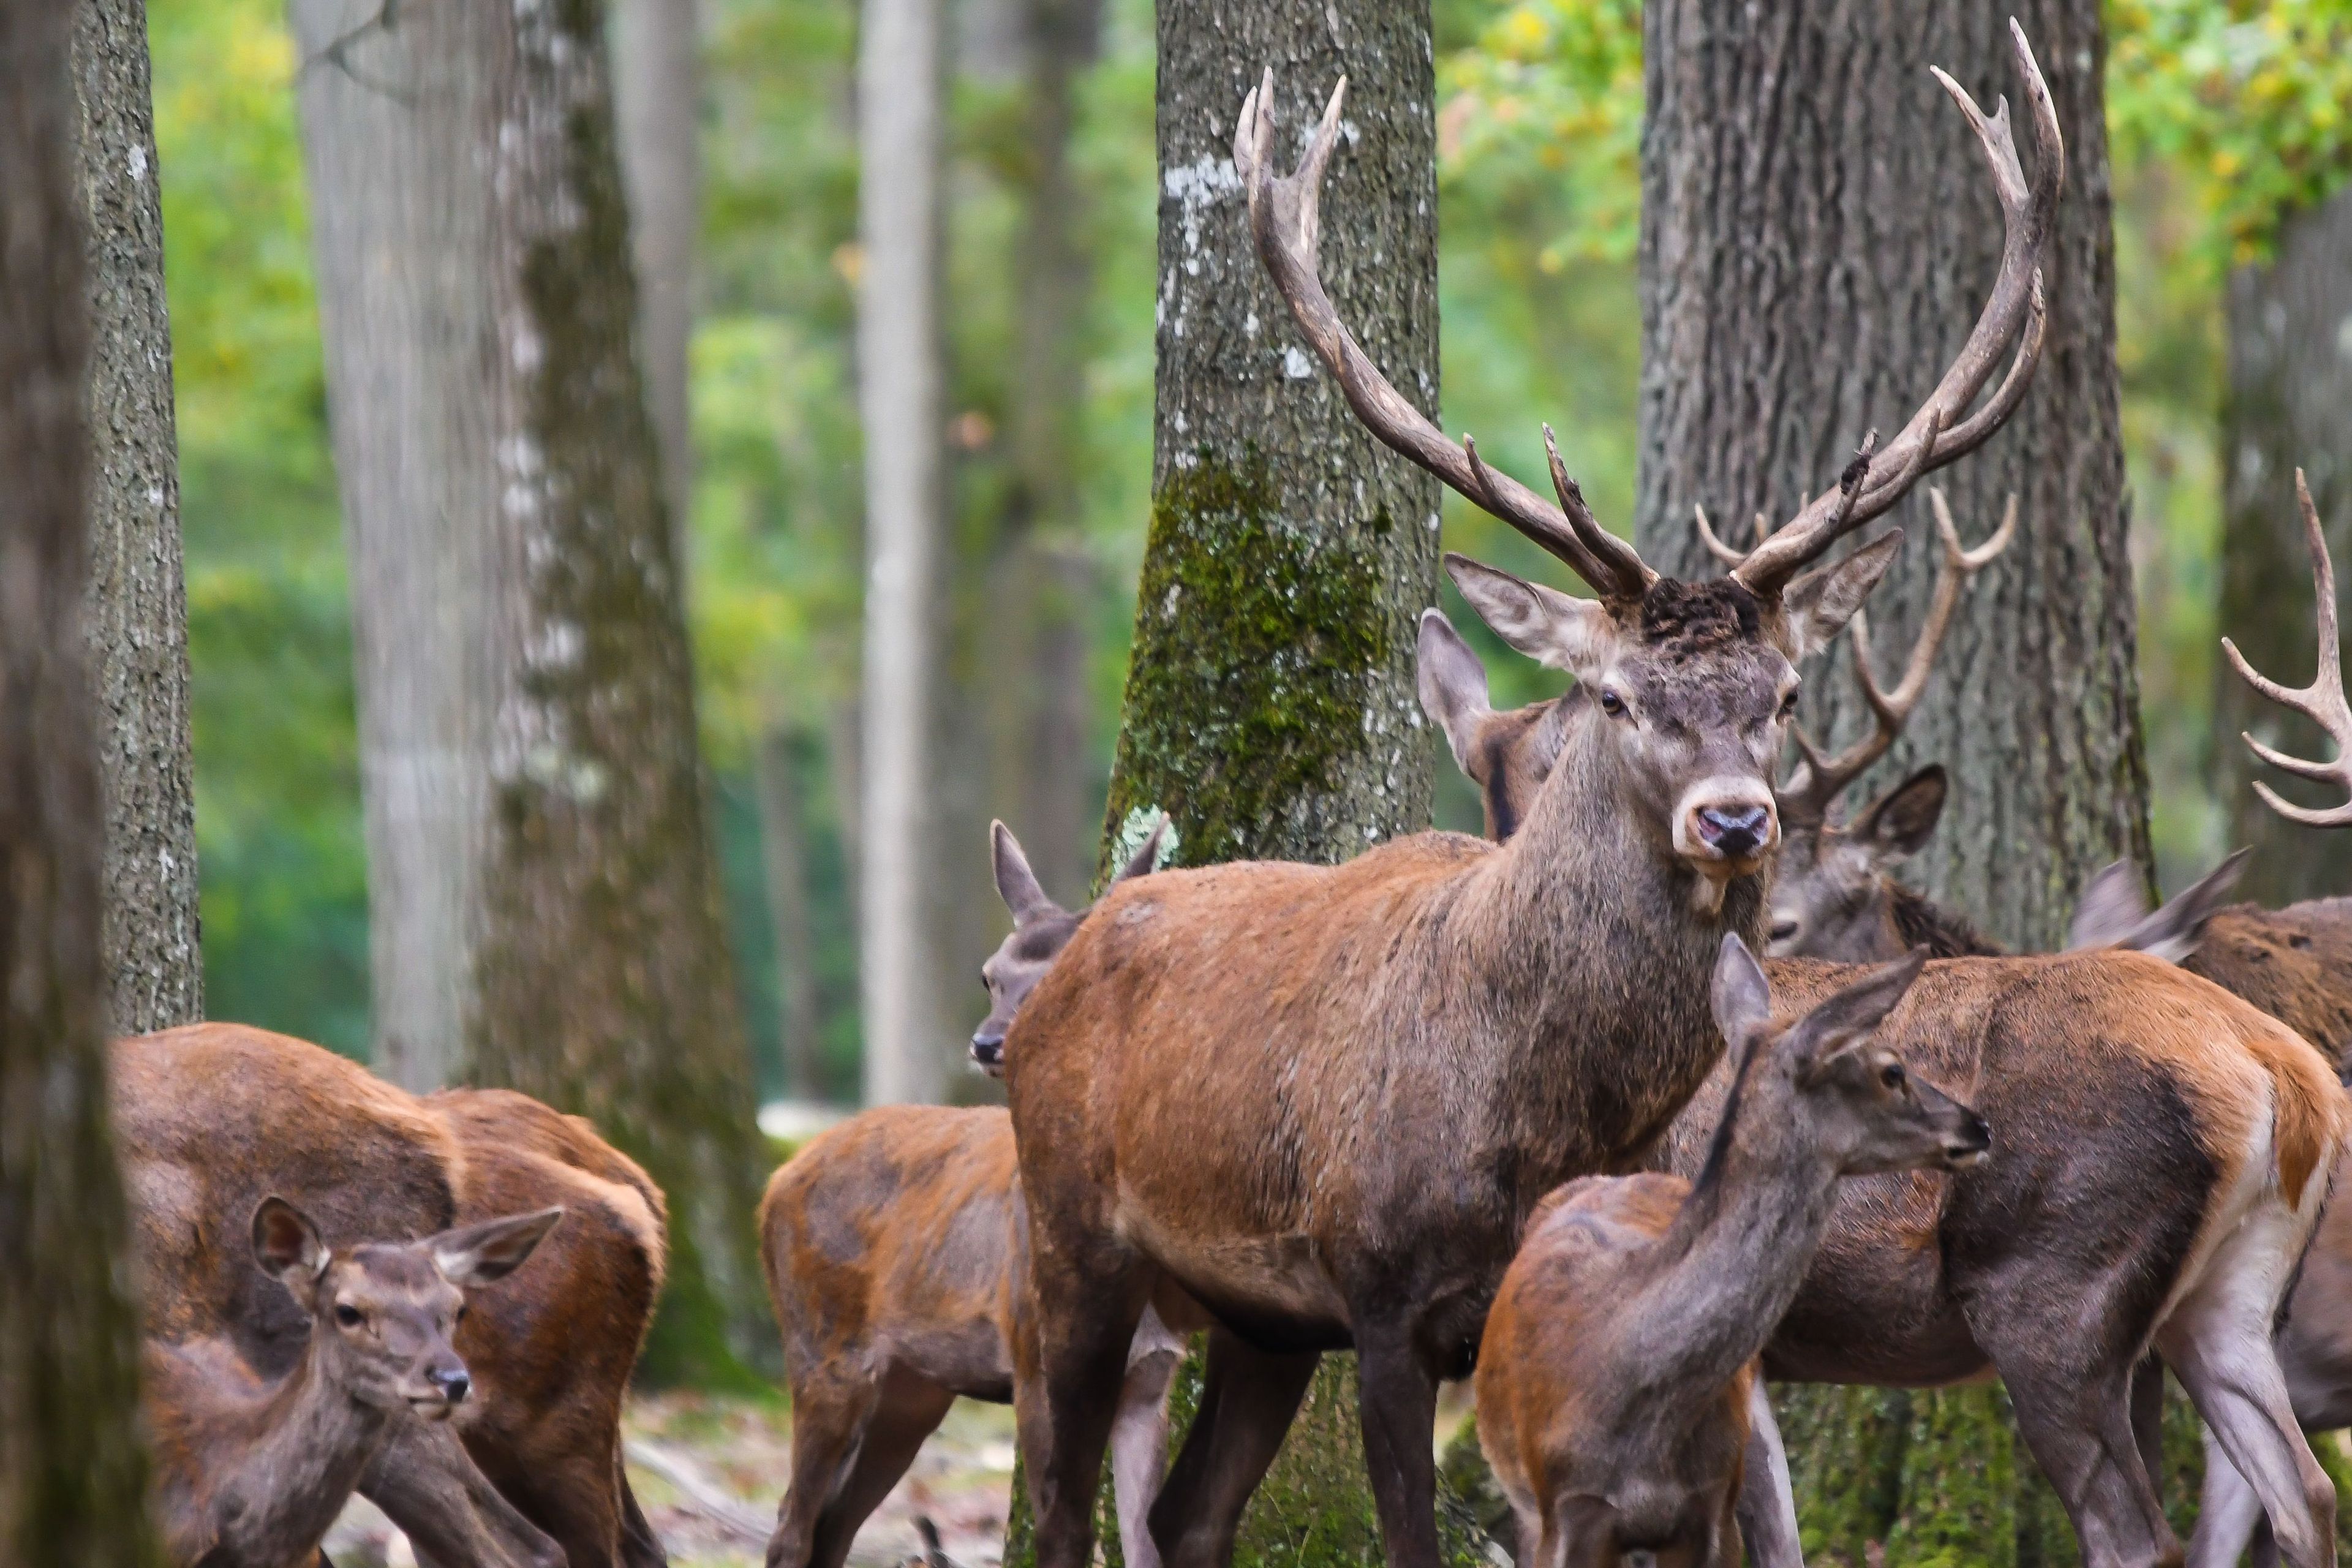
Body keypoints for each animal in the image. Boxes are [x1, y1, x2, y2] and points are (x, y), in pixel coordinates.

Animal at [760, 818, 1188, 1568]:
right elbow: (1060, 1531)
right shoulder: (1034, 1355)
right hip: (822, 1347)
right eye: (989, 975)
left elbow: (1146, 1544)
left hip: (912, 1389)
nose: (988, 1043)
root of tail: (775, 1182)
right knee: (790, 1525)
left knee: (833, 1524)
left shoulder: (1152, 1380)